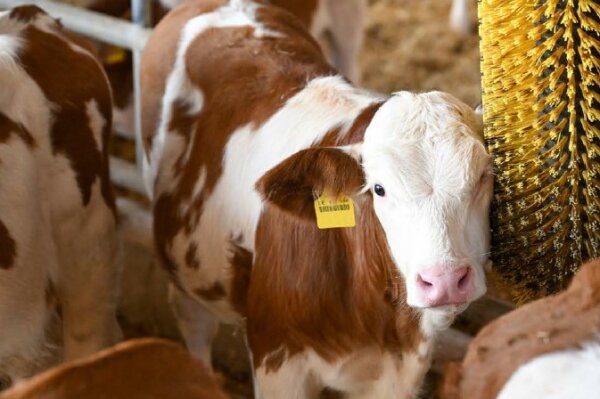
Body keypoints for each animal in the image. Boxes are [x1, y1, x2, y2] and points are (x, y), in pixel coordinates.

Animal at [141, 0, 492, 396]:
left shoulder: (399, 372)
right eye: (379, 188)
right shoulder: (276, 358)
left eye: (483, 176)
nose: (445, 280)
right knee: (194, 322)